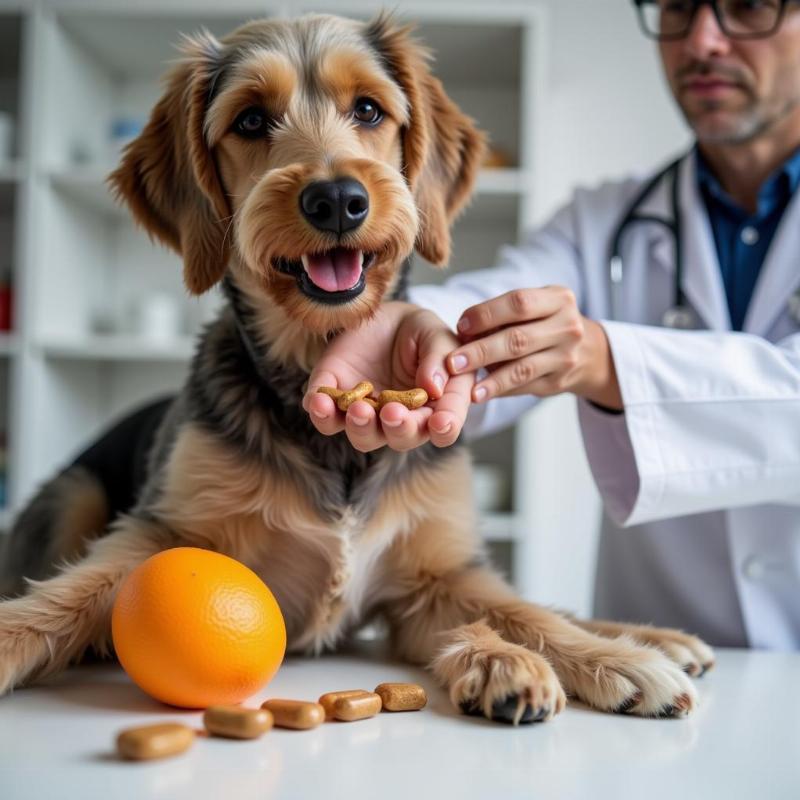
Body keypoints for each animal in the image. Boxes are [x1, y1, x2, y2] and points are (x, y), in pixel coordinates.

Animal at [0, 12, 712, 724]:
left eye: (368, 109)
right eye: (251, 121)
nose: (337, 199)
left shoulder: (435, 573)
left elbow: (524, 613)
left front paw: (608, 660)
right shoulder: (163, 531)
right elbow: (73, 590)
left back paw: (655, 639)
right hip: (73, 492)